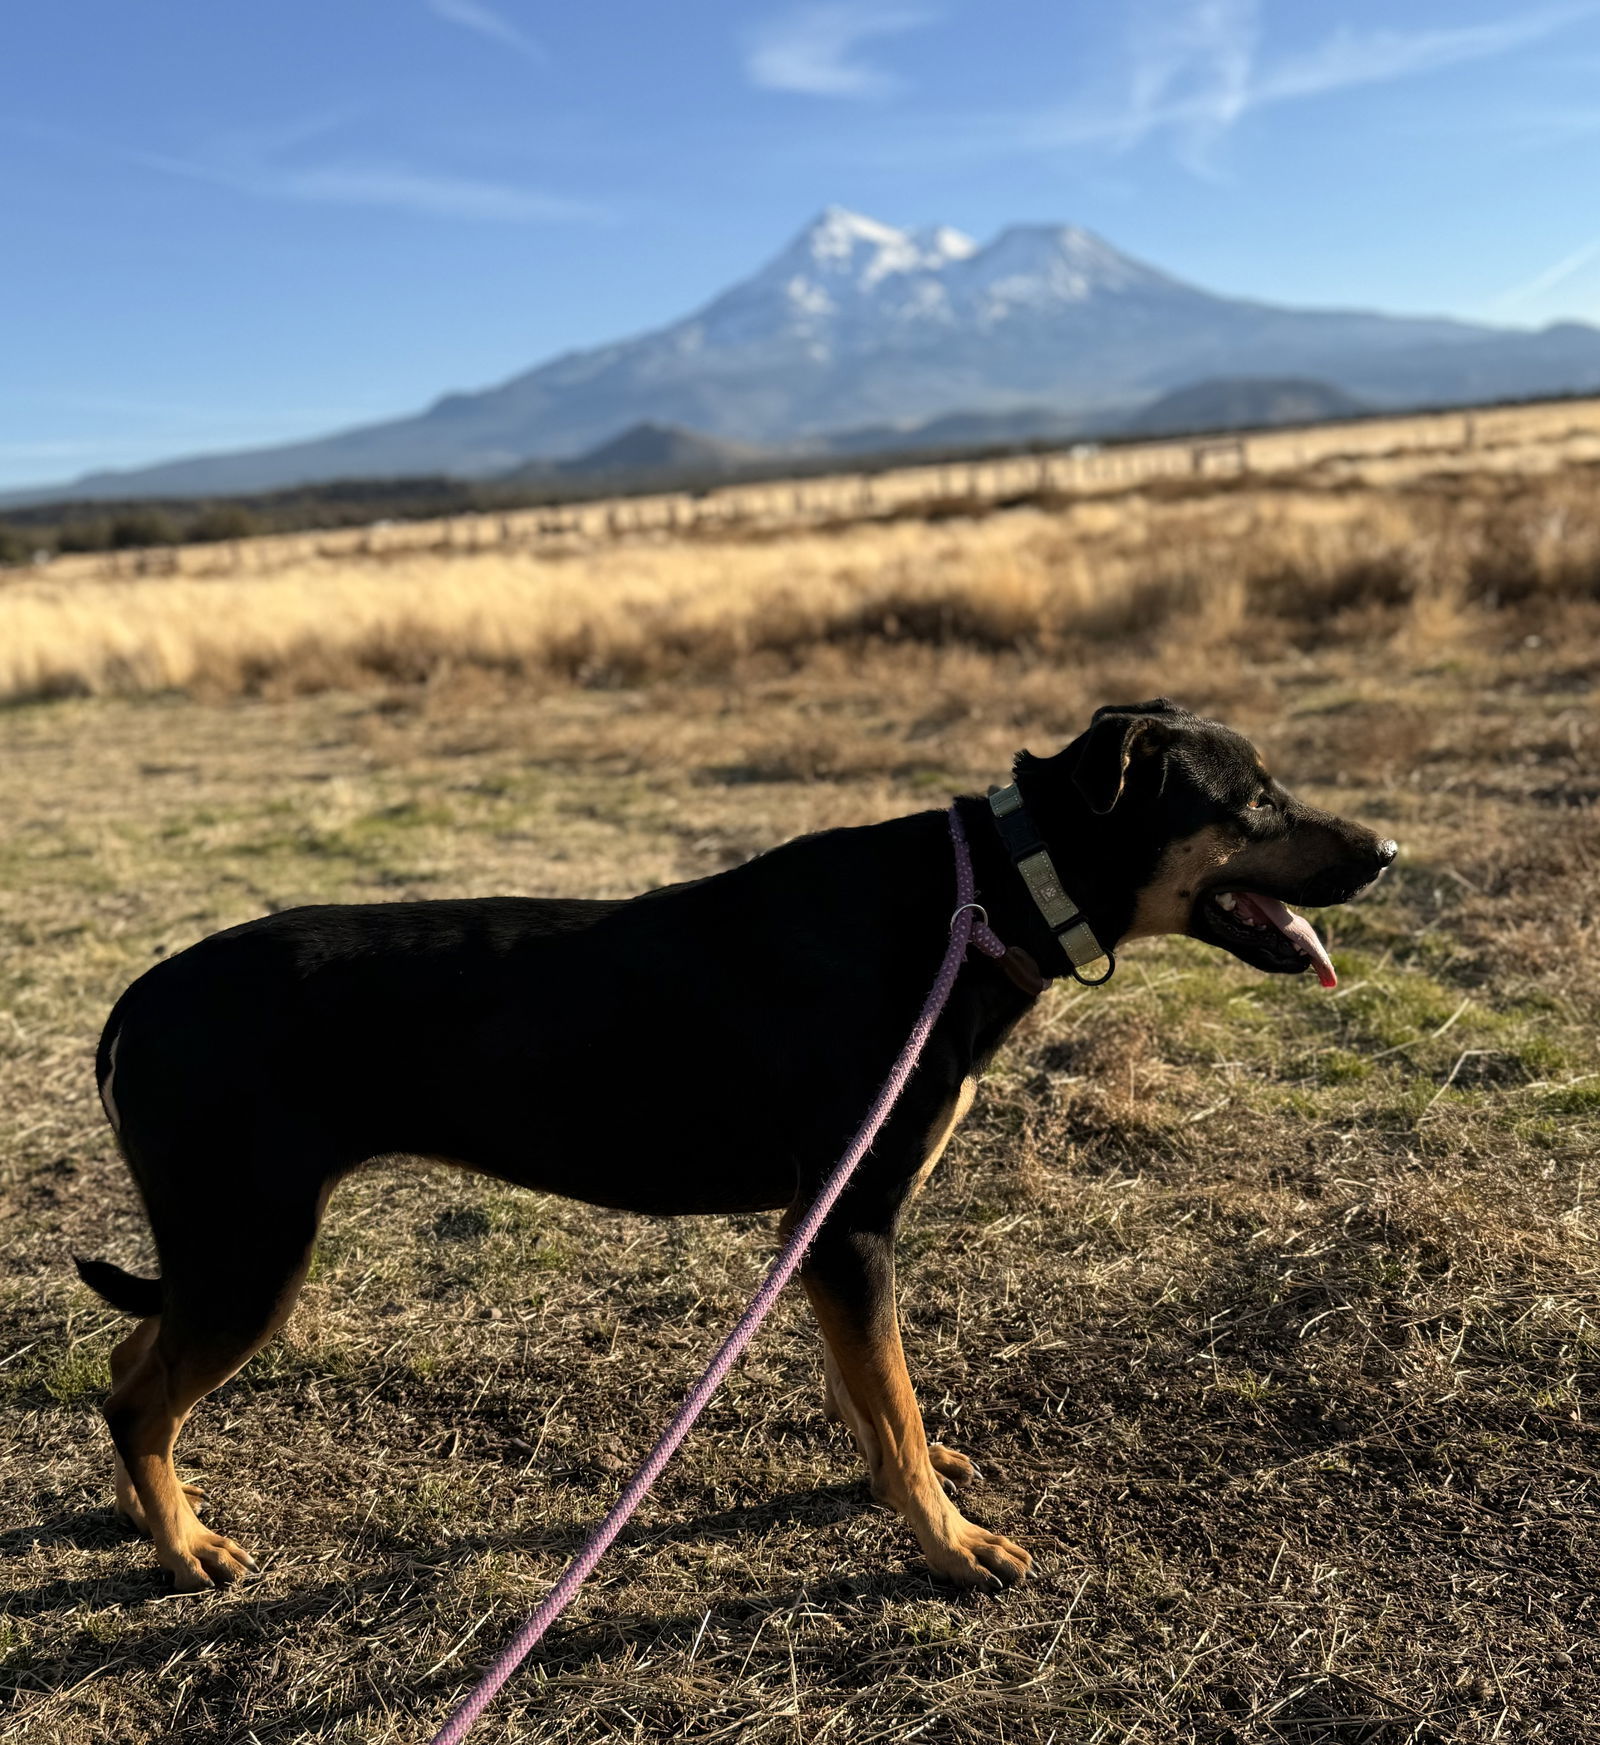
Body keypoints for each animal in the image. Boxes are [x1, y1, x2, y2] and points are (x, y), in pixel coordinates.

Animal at [81, 698, 1388, 1598]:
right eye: (1252, 800)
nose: (1388, 854)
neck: (981, 900)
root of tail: (138, 999)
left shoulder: (824, 1233)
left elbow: (872, 1398)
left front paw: (896, 1486)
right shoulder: (853, 1221)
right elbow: (891, 1398)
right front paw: (946, 1545)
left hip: (221, 1248)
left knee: (128, 1366)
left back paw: (153, 1515)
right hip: (253, 1248)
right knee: (139, 1392)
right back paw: (185, 1545)